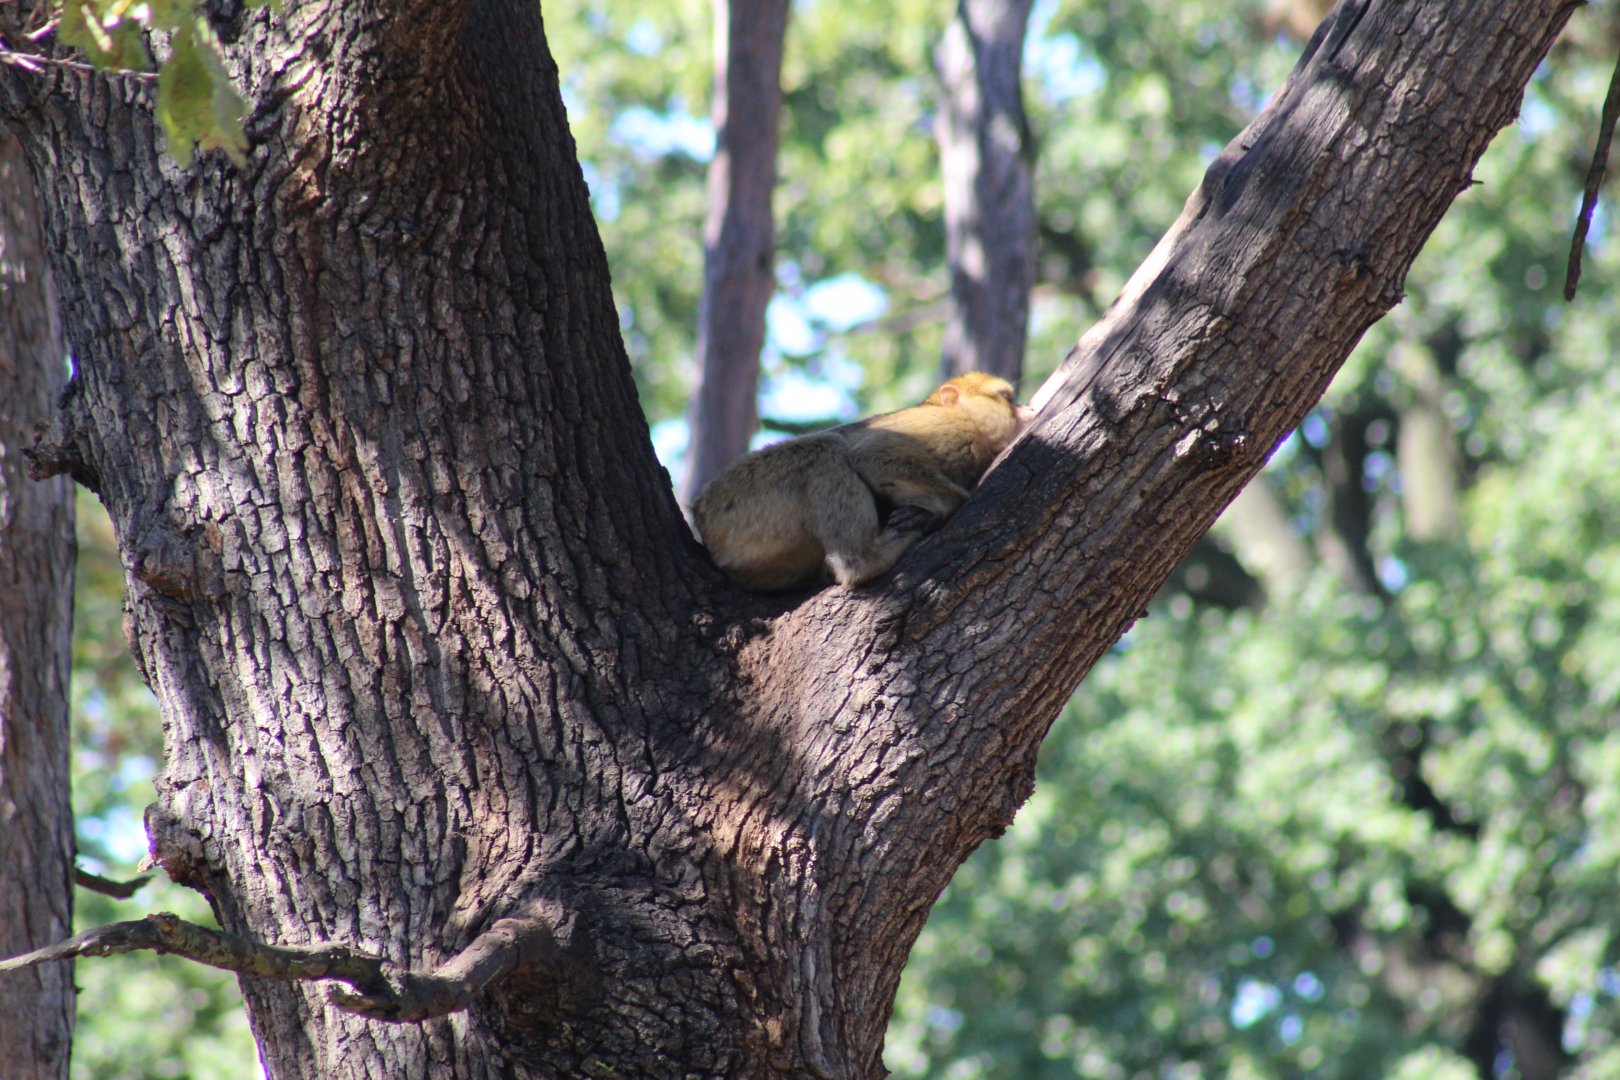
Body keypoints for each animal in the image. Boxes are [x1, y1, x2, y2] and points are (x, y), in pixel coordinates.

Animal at [692, 372, 1035, 592]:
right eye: (1007, 398)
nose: (1026, 409)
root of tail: (702, 520)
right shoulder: (947, 427)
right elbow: (873, 457)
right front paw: (936, 510)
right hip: (739, 503)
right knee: (824, 451)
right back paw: (865, 561)